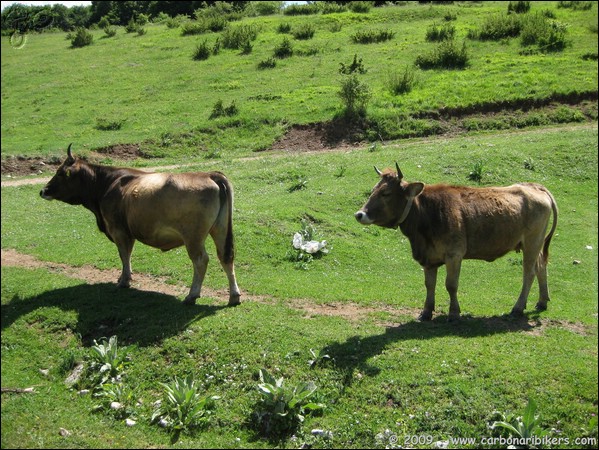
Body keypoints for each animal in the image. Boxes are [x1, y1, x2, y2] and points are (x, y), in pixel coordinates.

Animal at [38, 144, 241, 306]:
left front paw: (124, 280)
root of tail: (209, 174)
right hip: (220, 229)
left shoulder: (118, 230)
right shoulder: (128, 231)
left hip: (193, 237)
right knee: (226, 257)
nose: (43, 191)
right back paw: (234, 296)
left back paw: (192, 295)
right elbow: (128, 253)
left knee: (201, 260)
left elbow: (124, 254)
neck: (107, 184)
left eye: (60, 173)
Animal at [356, 164, 556, 320]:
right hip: (534, 244)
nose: (359, 214)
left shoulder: (454, 254)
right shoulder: (429, 257)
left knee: (529, 273)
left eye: (386, 193)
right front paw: (426, 312)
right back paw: (542, 301)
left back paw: (518, 308)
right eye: (373, 190)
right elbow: (429, 284)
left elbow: (451, 285)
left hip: (532, 242)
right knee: (541, 267)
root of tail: (534, 186)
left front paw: (454, 313)